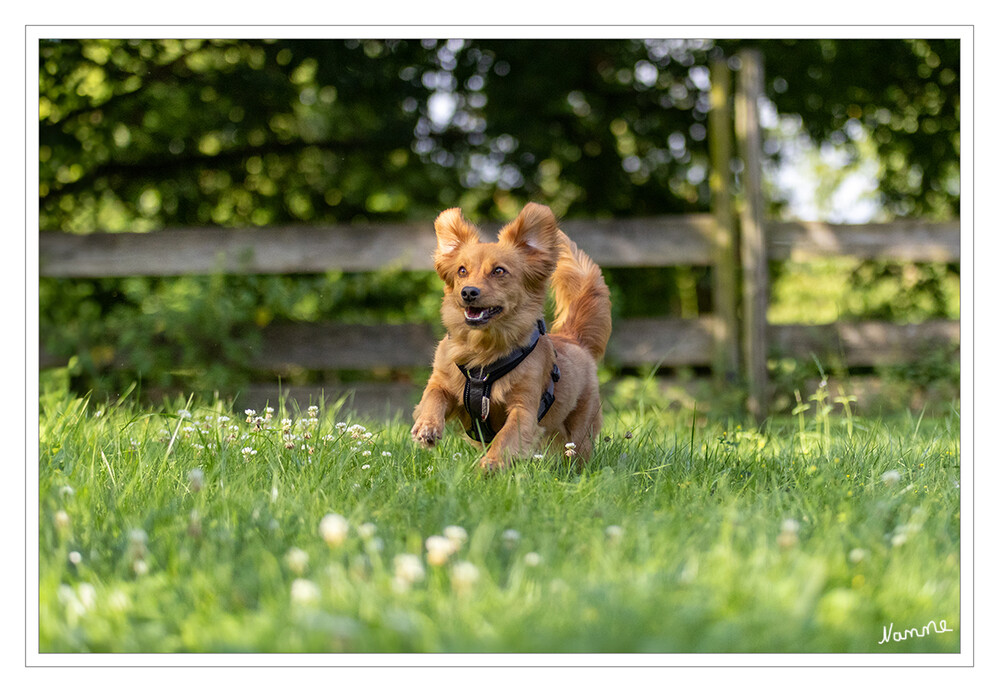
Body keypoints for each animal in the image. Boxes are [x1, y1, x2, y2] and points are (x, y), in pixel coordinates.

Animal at [410, 200, 612, 470]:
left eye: (499, 271)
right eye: (462, 271)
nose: (468, 292)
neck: (483, 353)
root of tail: (572, 338)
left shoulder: (524, 408)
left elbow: (506, 436)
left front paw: (490, 464)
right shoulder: (444, 379)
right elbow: (433, 394)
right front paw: (427, 425)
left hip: (579, 430)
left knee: (579, 450)